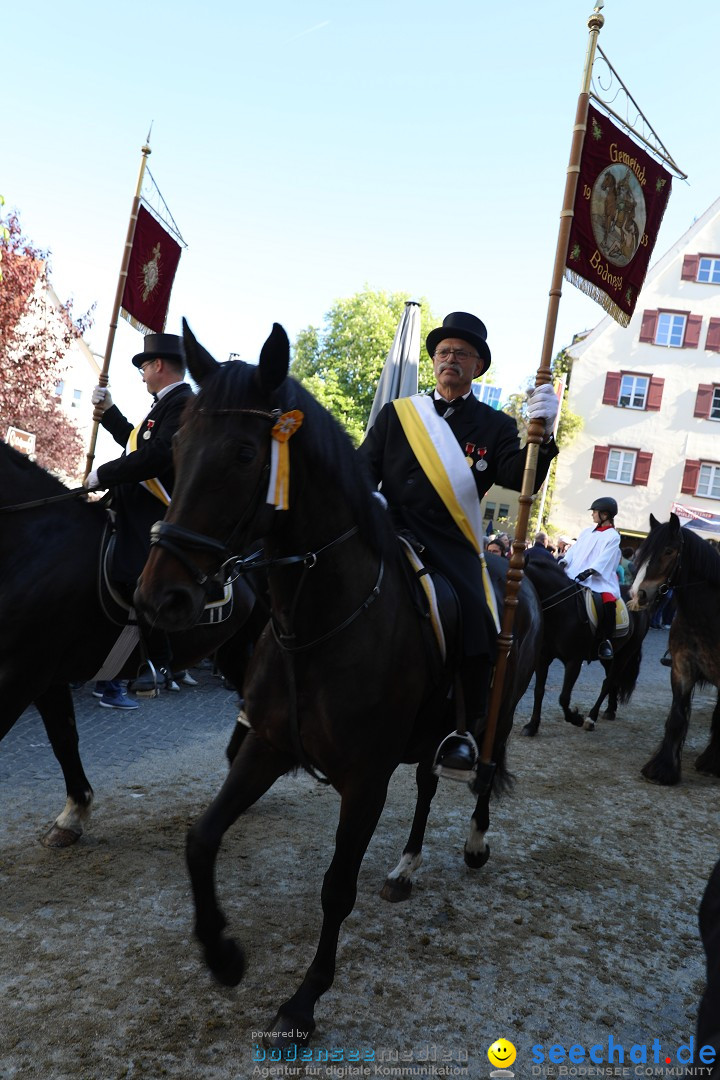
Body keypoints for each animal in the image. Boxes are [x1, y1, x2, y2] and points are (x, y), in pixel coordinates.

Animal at [0, 438, 262, 842]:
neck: (34, 542)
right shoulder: (44, 677)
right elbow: (64, 737)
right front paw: (73, 814)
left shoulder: (21, 675)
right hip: (232, 647)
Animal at [134, 319, 544, 1045]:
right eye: (177, 446)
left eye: (245, 453)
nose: (162, 597)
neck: (317, 621)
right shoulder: (267, 746)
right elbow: (201, 838)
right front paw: (223, 954)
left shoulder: (364, 777)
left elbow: (336, 886)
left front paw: (303, 1001)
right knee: (430, 783)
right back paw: (406, 867)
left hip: (495, 708)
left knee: (486, 766)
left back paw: (474, 843)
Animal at [520, 548, 651, 734]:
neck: (561, 610)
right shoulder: (543, 658)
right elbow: (538, 691)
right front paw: (532, 726)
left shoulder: (574, 661)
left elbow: (564, 697)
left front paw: (576, 718)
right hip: (610, 656)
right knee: (611, 680)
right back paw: (610, 710)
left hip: (625, 654)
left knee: (608, 682)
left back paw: (591, 718)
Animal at [626, 514, 720, 786]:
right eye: (644, 551)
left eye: (668, 551)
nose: (638, 594)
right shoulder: (681, 668)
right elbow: (677, 717)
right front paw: (662, 769)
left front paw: (712, 762)